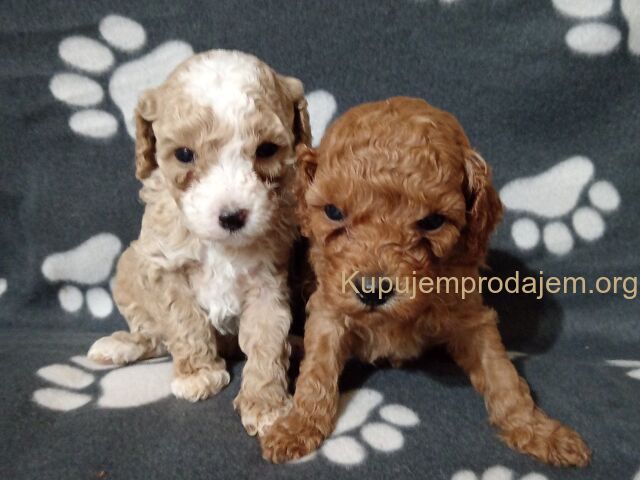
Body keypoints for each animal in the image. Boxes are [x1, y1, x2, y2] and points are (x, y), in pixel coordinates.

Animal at [87, 49, 310, 436]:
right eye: (184, 154)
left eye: (267, 150)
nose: (232, 216)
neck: (220, 243)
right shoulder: (164, 267)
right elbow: (184, 322)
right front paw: (199, 374)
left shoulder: (268, 279)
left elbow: (268, 339)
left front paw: (265, 403)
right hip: (129, 267)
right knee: (152, 335)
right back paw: (120, 345)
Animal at [260, 97, 591, 466]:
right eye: (333, 212)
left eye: (433, 222)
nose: (372, 292)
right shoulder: (328, 306)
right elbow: (317, 368)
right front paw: (298, 424)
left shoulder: (471, 317)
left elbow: (503, 374)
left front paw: (538, 430)